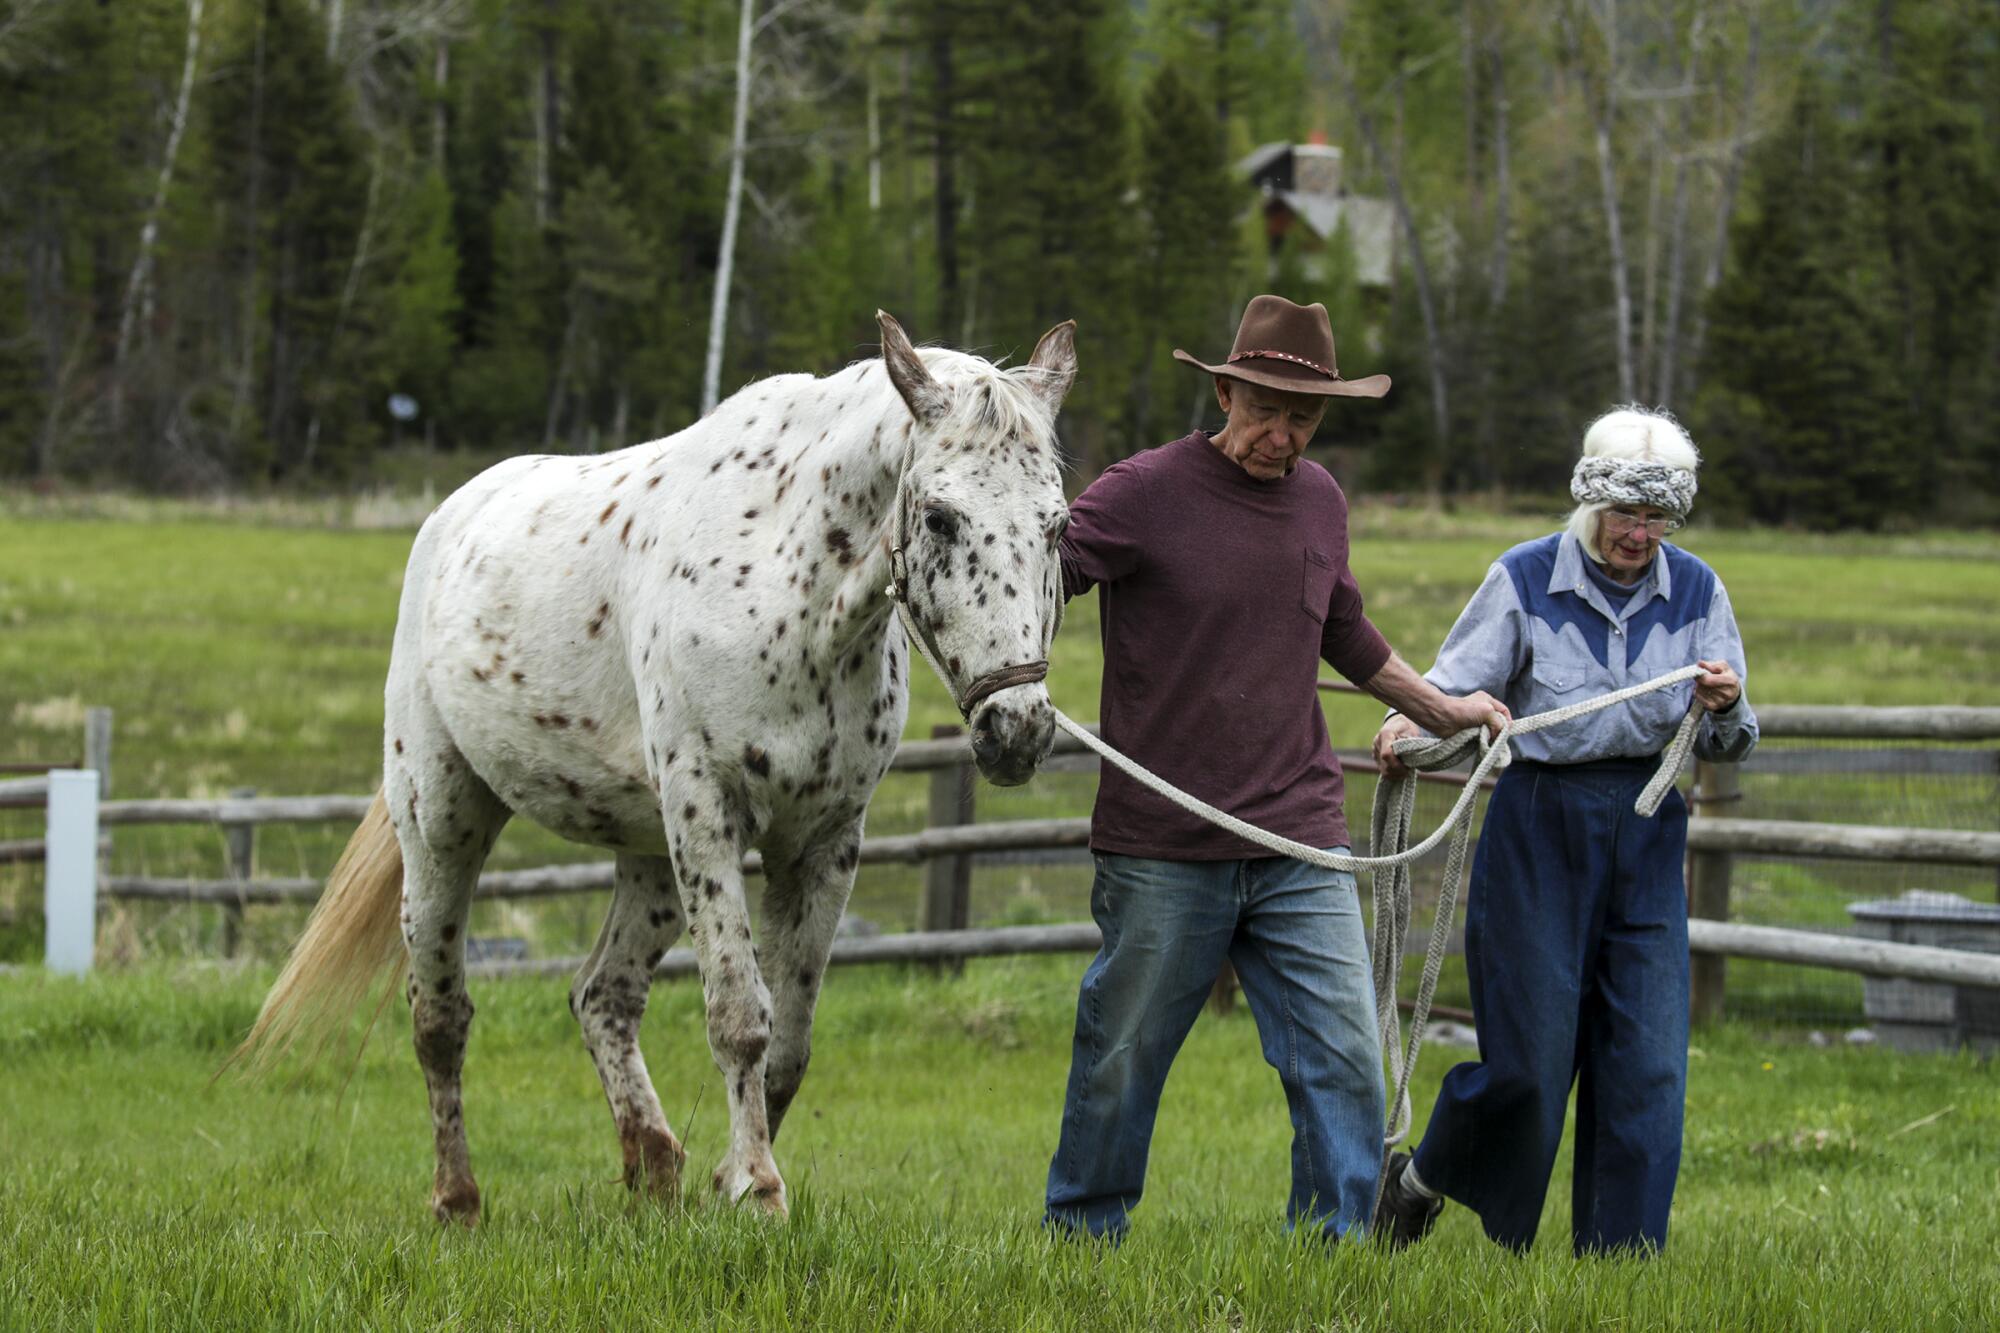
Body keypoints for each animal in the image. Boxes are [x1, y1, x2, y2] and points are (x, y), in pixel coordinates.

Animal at [240, 314, 1080, 1224]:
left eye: (1059, 525)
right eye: (940, 517)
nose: (1018, 729)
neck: (790, 592)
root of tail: (448, 519)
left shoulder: (824, 840)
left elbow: (789, 1040)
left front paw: (730, 1177)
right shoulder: (708, 812)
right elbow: (740, 1016)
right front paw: (757, 1186)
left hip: (648, 859)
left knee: (601, 995)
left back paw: (654, 1165)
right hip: (443, 823)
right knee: (440, 1016)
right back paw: (458, 1197)